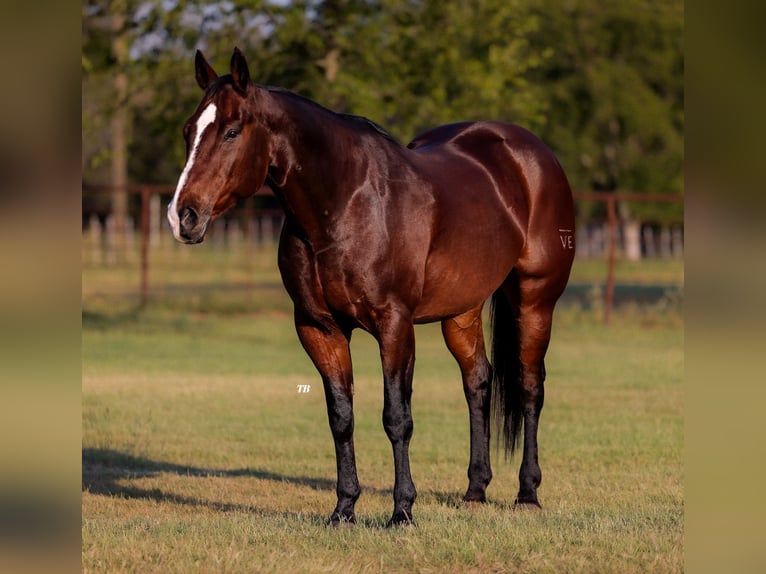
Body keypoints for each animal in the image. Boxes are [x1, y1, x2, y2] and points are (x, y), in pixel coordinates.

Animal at [168, 49, 576, 532]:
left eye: (231, 131)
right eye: (188, 131)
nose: (183, 217)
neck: (345, 203)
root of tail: (531, 154)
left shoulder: (395, 325)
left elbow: (396, 417)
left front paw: (402, 511)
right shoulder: (319, 328)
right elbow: (341, 417)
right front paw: (344, 509)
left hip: (535, 300)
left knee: (530, 386)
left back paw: (527, 494)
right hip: (462, 310)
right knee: (478, 382)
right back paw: (475, 491)